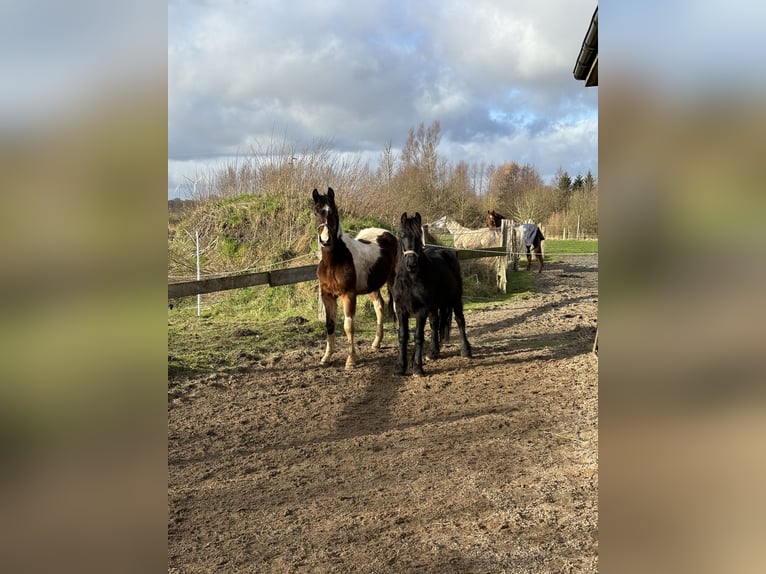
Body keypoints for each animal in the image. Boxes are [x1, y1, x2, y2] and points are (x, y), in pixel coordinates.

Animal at [312, 187, 400, 372]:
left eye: (333, 211)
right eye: (316, 211)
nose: (325, 240)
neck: (334, 261)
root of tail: (389, 235)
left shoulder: (348, 295)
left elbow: (348, 326)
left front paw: (351, 360)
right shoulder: (327, 295)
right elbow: (330, 325)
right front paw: (326, 358)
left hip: (393, 280)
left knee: (397, 307)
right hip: (372, 286)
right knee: (379, 306)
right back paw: (376, 343)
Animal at [396, 213, 474, 378]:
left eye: (418, 235)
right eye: (402, 235)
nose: (411, 264)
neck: (411, 280)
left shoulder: (421, 310)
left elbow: (418, 336)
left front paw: (417, 368)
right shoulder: (401, 310)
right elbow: (403, 336)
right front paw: (400, 367)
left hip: (455, 300)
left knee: (460, 321)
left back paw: (466, 350)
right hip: (435, 306)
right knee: (435, 323)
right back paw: (433, 352)